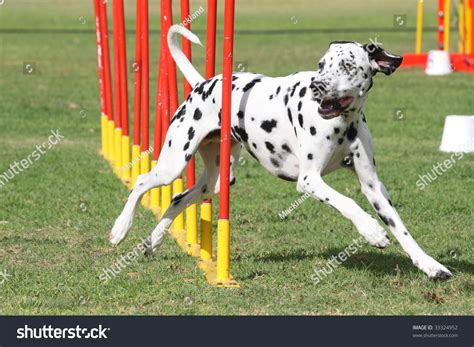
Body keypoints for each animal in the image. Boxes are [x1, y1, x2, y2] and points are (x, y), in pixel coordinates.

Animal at [110, 24, 452, 280]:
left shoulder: (374, 186)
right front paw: (372, 231)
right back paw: (120, 229)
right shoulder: (310, 180)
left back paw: (153, 240)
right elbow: (348, 203)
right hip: (173, 164)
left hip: (217, 181)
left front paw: (430, 265)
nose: (317, 86)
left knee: (179, 198)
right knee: (141, 182)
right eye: (321, 65)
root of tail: (203, 84)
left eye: (347, 65)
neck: (345, 122)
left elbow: (402, 230)